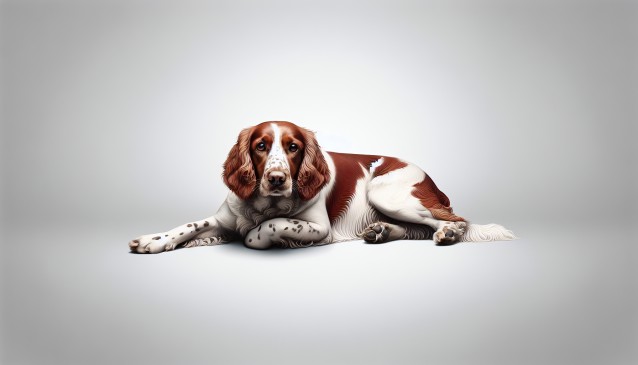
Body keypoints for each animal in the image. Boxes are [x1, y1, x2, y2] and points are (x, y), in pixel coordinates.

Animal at [130, 121, 516, 252]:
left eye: (293, 147)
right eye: (260, 146)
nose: (276, 178)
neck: (264, 203)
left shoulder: (319, 227)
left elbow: (269, 227)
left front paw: (263, 238)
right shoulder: (225, 218)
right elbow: (190, 225)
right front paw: (153, 240)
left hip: (386, 192)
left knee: (454, 220)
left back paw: (448, 234)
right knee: (416, 230)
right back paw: (379, 231)